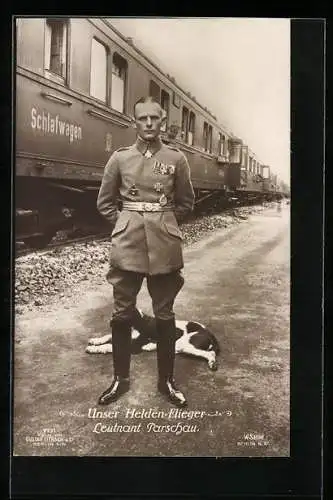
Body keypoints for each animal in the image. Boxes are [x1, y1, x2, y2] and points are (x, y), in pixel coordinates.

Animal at [85, 308, 220, 372]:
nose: (111, 323)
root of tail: (210, 333)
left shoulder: (132, 346)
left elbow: (109, 345)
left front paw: (93, 349)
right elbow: (107, 336)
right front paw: (95, 340)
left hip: (185, 344)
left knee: (210, 353)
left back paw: (212, 363)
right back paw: (150, 346)